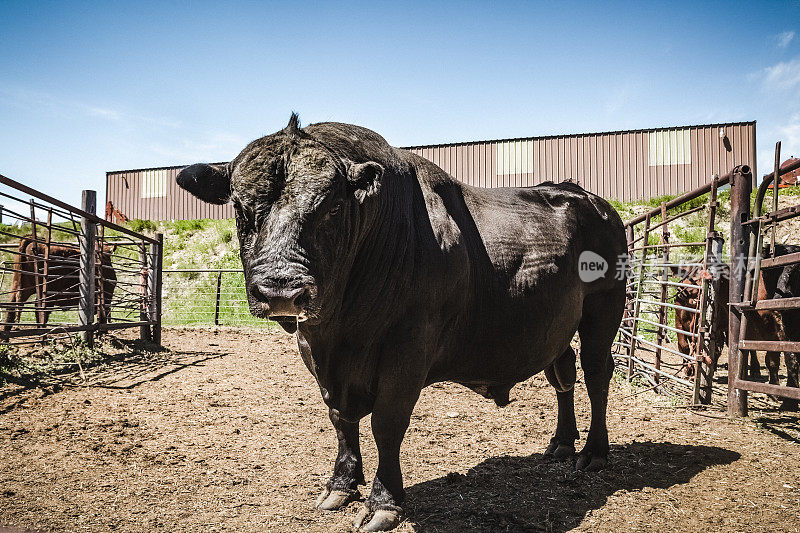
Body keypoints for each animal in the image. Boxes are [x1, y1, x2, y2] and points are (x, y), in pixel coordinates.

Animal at [178, 115, 628, 528]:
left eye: (333, 206)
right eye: (239, 209)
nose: (280, 290)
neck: (341, 328)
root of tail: (588, 197)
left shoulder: (408, 348)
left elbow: (387, 423)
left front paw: (384, 502)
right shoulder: (317, 353)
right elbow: (340, 419)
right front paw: (340, 485)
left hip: (604, 308)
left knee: (596, 373)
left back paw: (593, 452)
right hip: (557, 327)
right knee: (562, 374)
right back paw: (561, 443)